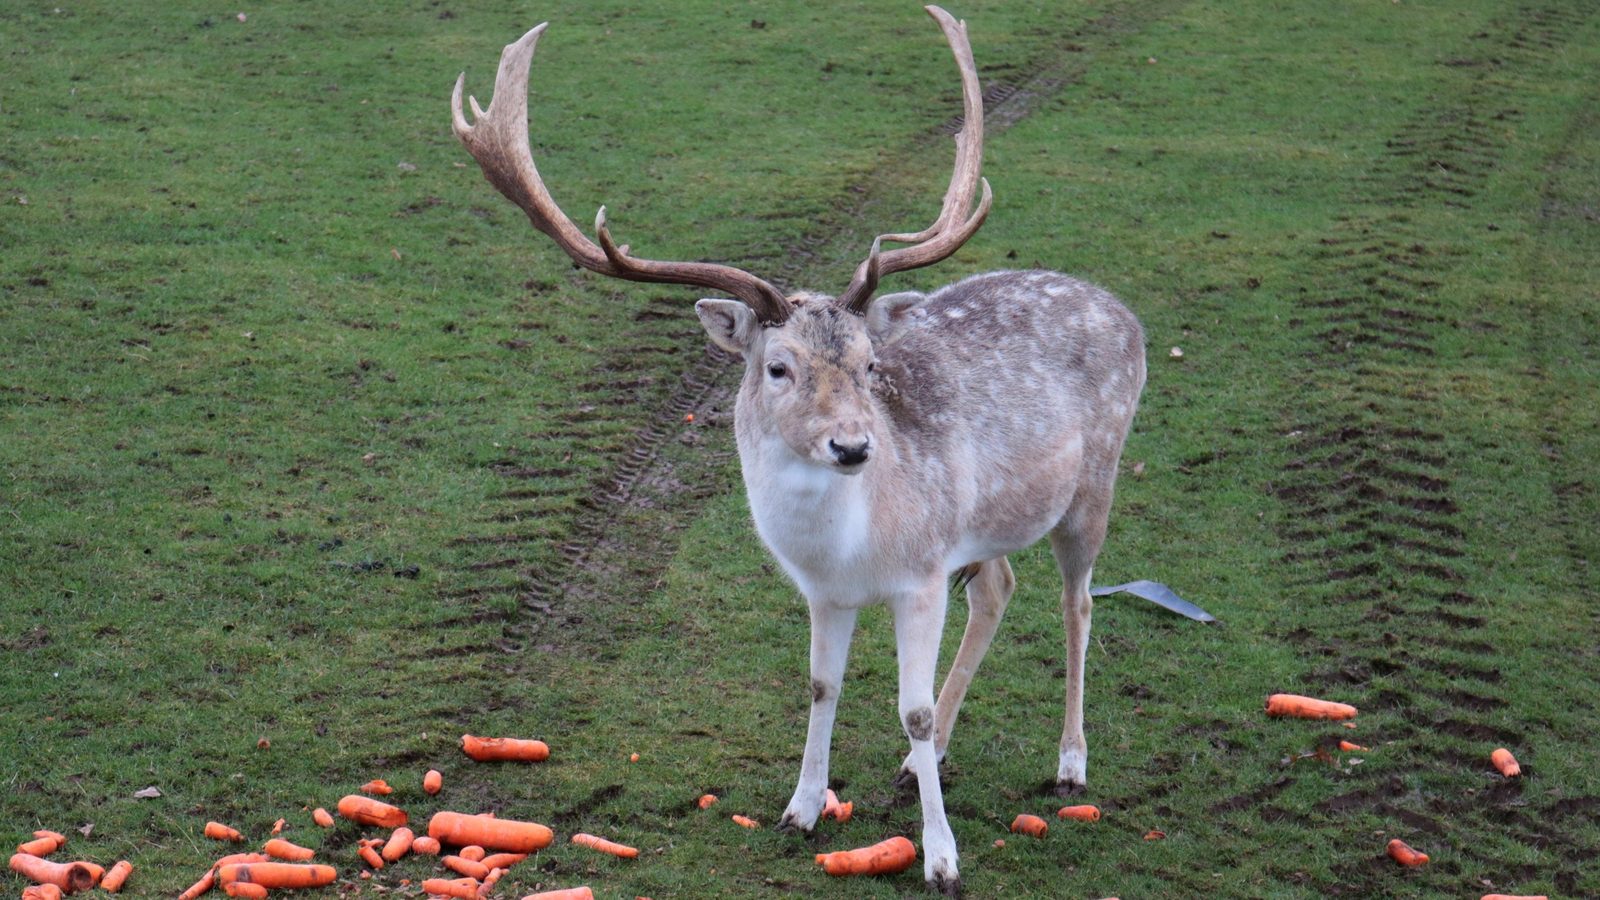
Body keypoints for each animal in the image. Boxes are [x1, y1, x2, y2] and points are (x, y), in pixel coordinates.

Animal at [451, 6, 1145, 894]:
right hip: (987, 522)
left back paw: (1069, 764)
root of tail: (1124, 310)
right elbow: (821, 685)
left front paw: (941, 859)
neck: (851, 548)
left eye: (872, 365)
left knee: (1079, 600)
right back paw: (925, 763)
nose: (851, 445)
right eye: (778, 366)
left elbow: (912, 706)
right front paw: (801, 809)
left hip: (1096, 479)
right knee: (1000, 587)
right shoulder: (826, 592)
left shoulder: (922, 574)